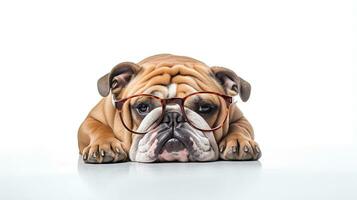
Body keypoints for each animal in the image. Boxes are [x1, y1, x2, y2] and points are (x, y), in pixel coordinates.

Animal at [78, 54, 260, 162]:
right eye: (143, 107)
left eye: (205, 107)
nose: (173, 117)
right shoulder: (92, 118)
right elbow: (97, 128)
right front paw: (104, 145)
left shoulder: (239, 117)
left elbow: (240, 128)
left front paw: (239, 142)